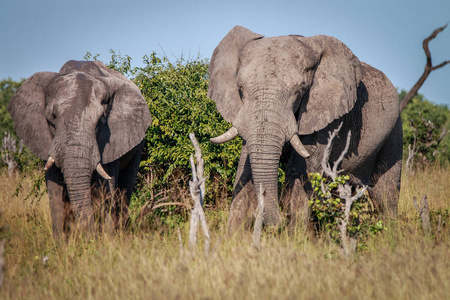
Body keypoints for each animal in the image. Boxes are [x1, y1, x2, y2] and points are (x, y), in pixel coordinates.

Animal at [7, 59, 152, 238]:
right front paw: (61, 243)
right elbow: (55, 190)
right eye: (52, 118)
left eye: (101, 120)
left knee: (125, 188)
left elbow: (105, 187)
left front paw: (107, 239)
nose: (89, 237)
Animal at [209, 26, 402, 232]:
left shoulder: (326, 115)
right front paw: (234, 235)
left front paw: (294, 236)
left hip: (394, 132)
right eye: (240, 88)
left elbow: (301, 169)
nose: (276, 222)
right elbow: (245, 166)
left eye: (300, 90)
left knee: (385, 195)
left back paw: (390, 235)